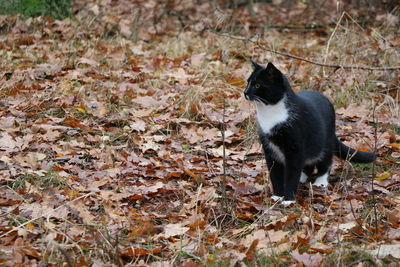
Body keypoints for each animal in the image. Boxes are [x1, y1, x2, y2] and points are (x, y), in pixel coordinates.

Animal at [245, 60, 376, 206]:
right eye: (247, 82)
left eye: (257, 85)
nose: (245, 92)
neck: (271, 113)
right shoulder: (269, 150)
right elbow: (275, 174)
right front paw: (277, 196)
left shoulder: (295, 148)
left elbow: (291, 175)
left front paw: (288, 199)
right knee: (308, 163)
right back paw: (302, 177)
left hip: (324, 141)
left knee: (325, 161)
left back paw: (320, 182)